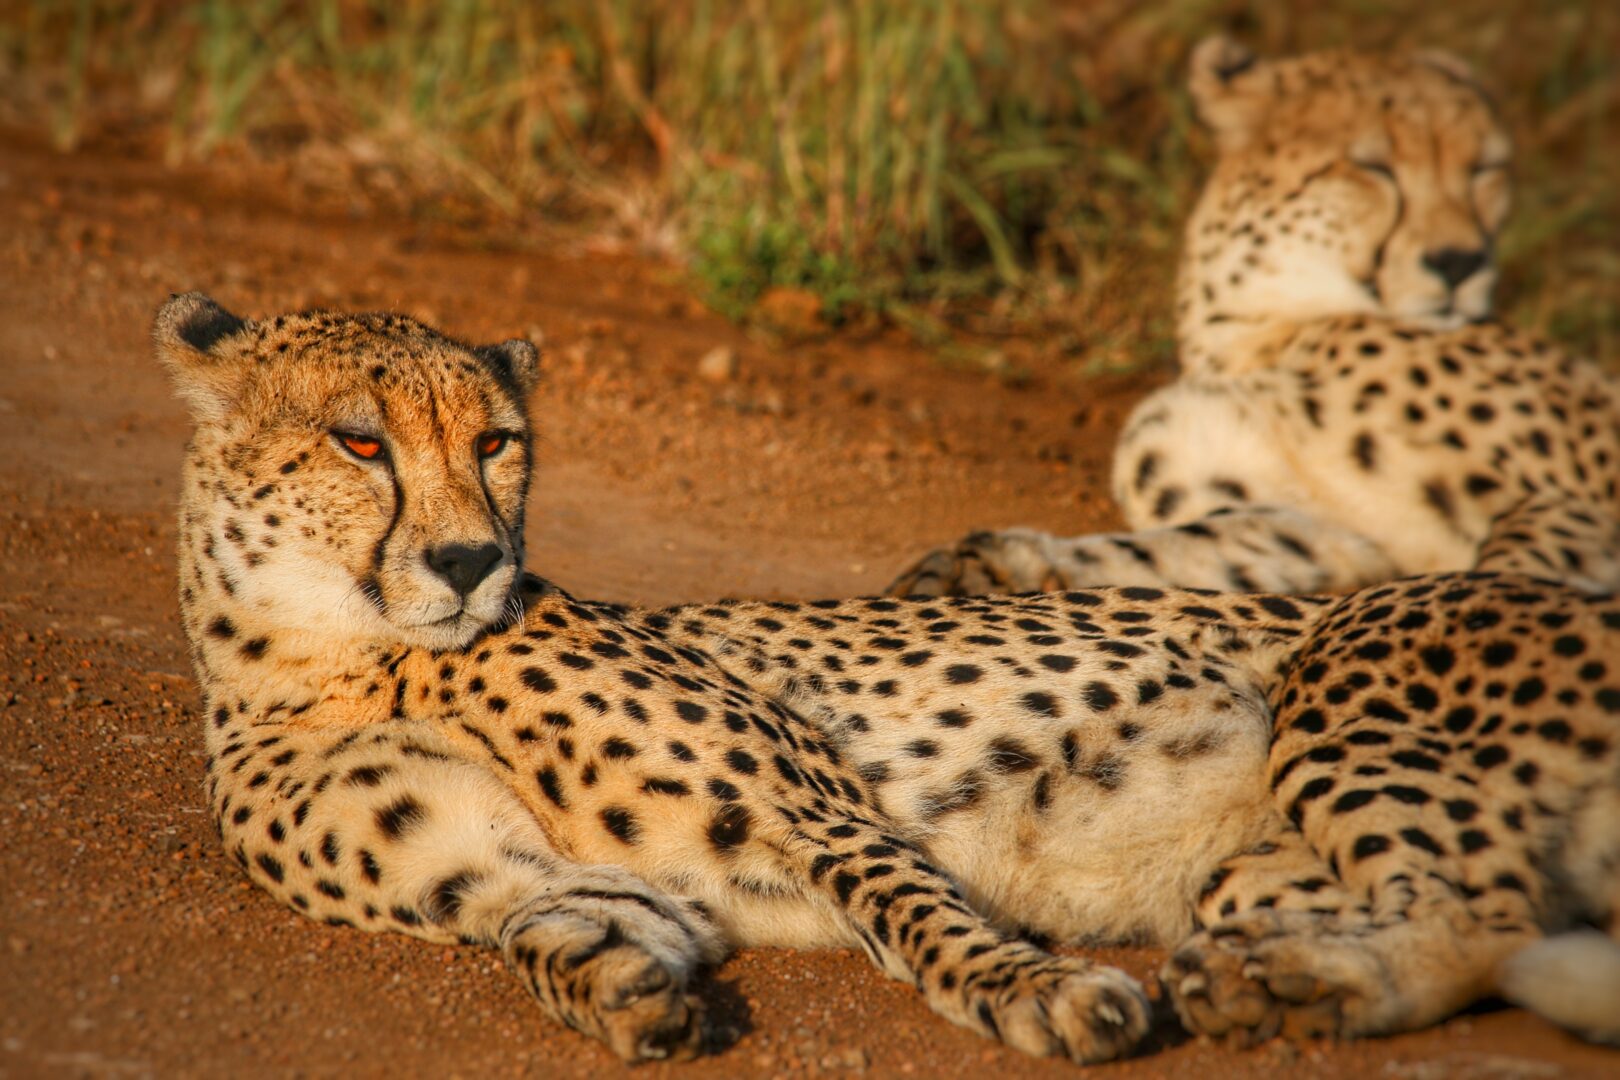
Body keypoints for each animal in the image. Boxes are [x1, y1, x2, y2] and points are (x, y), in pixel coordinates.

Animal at [159, 291, 1620, 1064]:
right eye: (360, 442)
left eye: (497, 441)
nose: (470, 561)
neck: (339, 658)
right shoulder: (522, 878)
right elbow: (561, 932)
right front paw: (625, 999)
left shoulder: (806, 807)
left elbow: (918, 915)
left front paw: (1042, 995)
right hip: (1254, 862)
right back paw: (1287, 978)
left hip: (1347, 679)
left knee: (1486, 915)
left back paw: (1303, 988)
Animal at [887, 36, 1620, 601]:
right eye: (1373, 166)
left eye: (1485, 169)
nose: (1460, 262)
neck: (1259, 328)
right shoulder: (1329, 529)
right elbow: (1181, 543)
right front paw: (990, 564)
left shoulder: (1577, 497)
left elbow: (1514, 557)